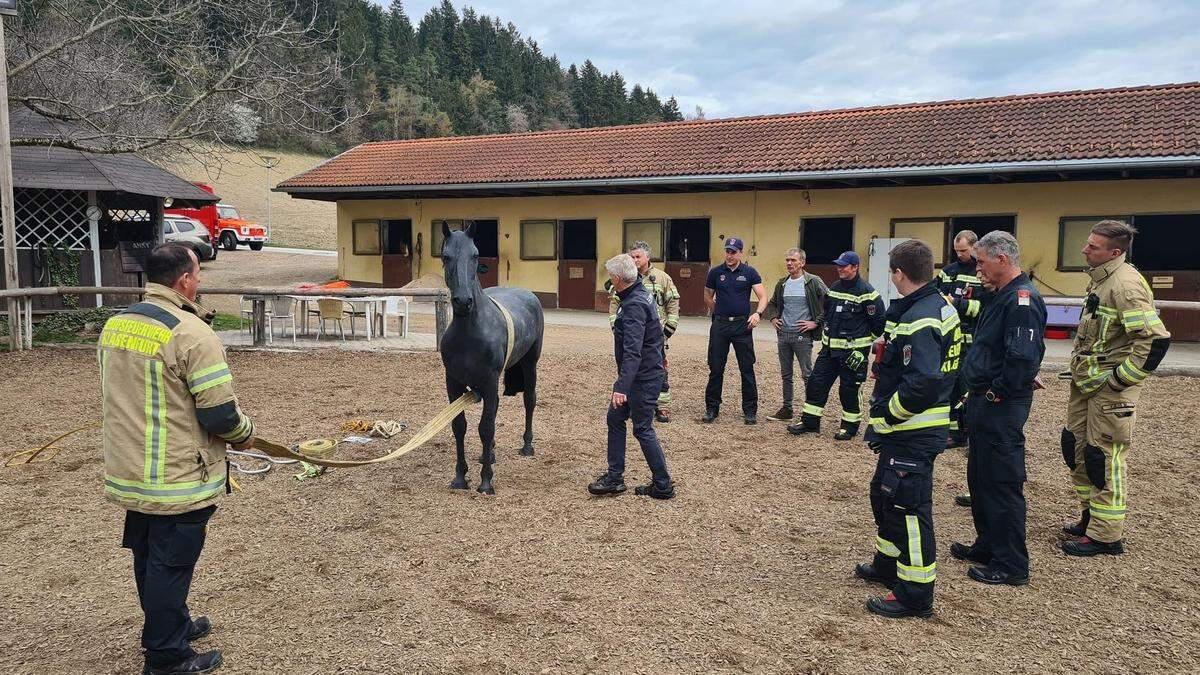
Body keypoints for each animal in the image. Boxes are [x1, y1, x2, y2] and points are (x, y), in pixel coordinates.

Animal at [439, 223, 547, 492]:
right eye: (446, 256)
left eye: (475, 255)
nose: (463, 301)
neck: (470, 332)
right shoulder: (453, 383)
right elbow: (460, 426)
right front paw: (460, 477)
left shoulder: (489, 381)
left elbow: (485, 428)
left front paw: (486, 481)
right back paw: (490, 454)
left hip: (530, 364)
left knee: (529, 400)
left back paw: (527, 446)